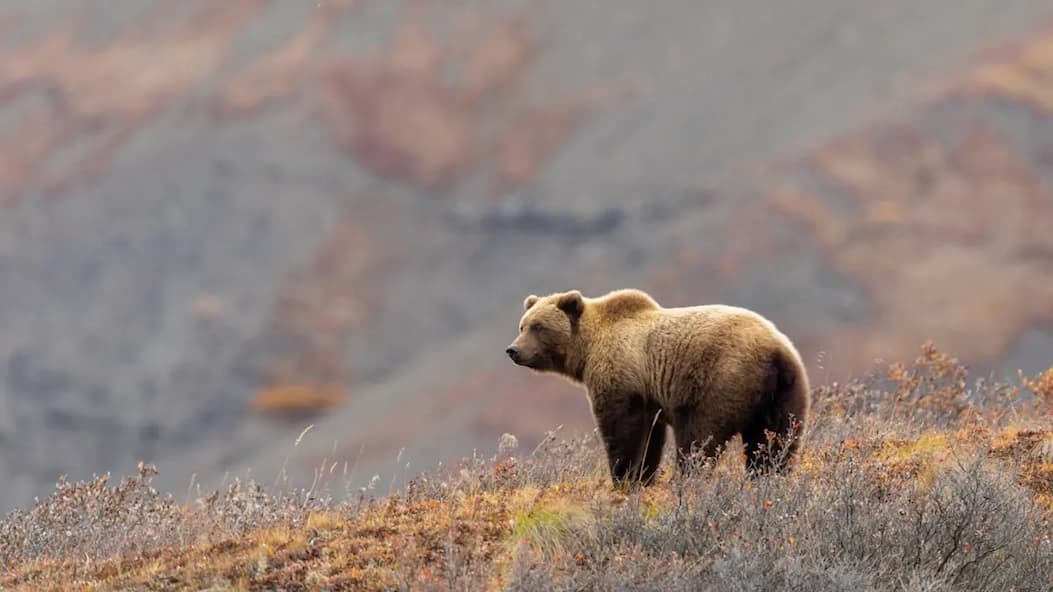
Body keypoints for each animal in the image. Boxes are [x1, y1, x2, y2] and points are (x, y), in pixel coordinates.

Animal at [505, 288, 810, 487]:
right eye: (522, 325)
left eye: (539, 326)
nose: (513, 350)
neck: (587, 350)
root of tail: (775, 351)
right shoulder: (649, 397)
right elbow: (650, 438)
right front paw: (643, 477)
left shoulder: (622, 377)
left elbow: (623, 431)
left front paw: (624, 478)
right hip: (786, 392)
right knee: (775, 441)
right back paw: (767, 478)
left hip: (721, 380)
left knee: (699, 438)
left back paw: (688, 479)